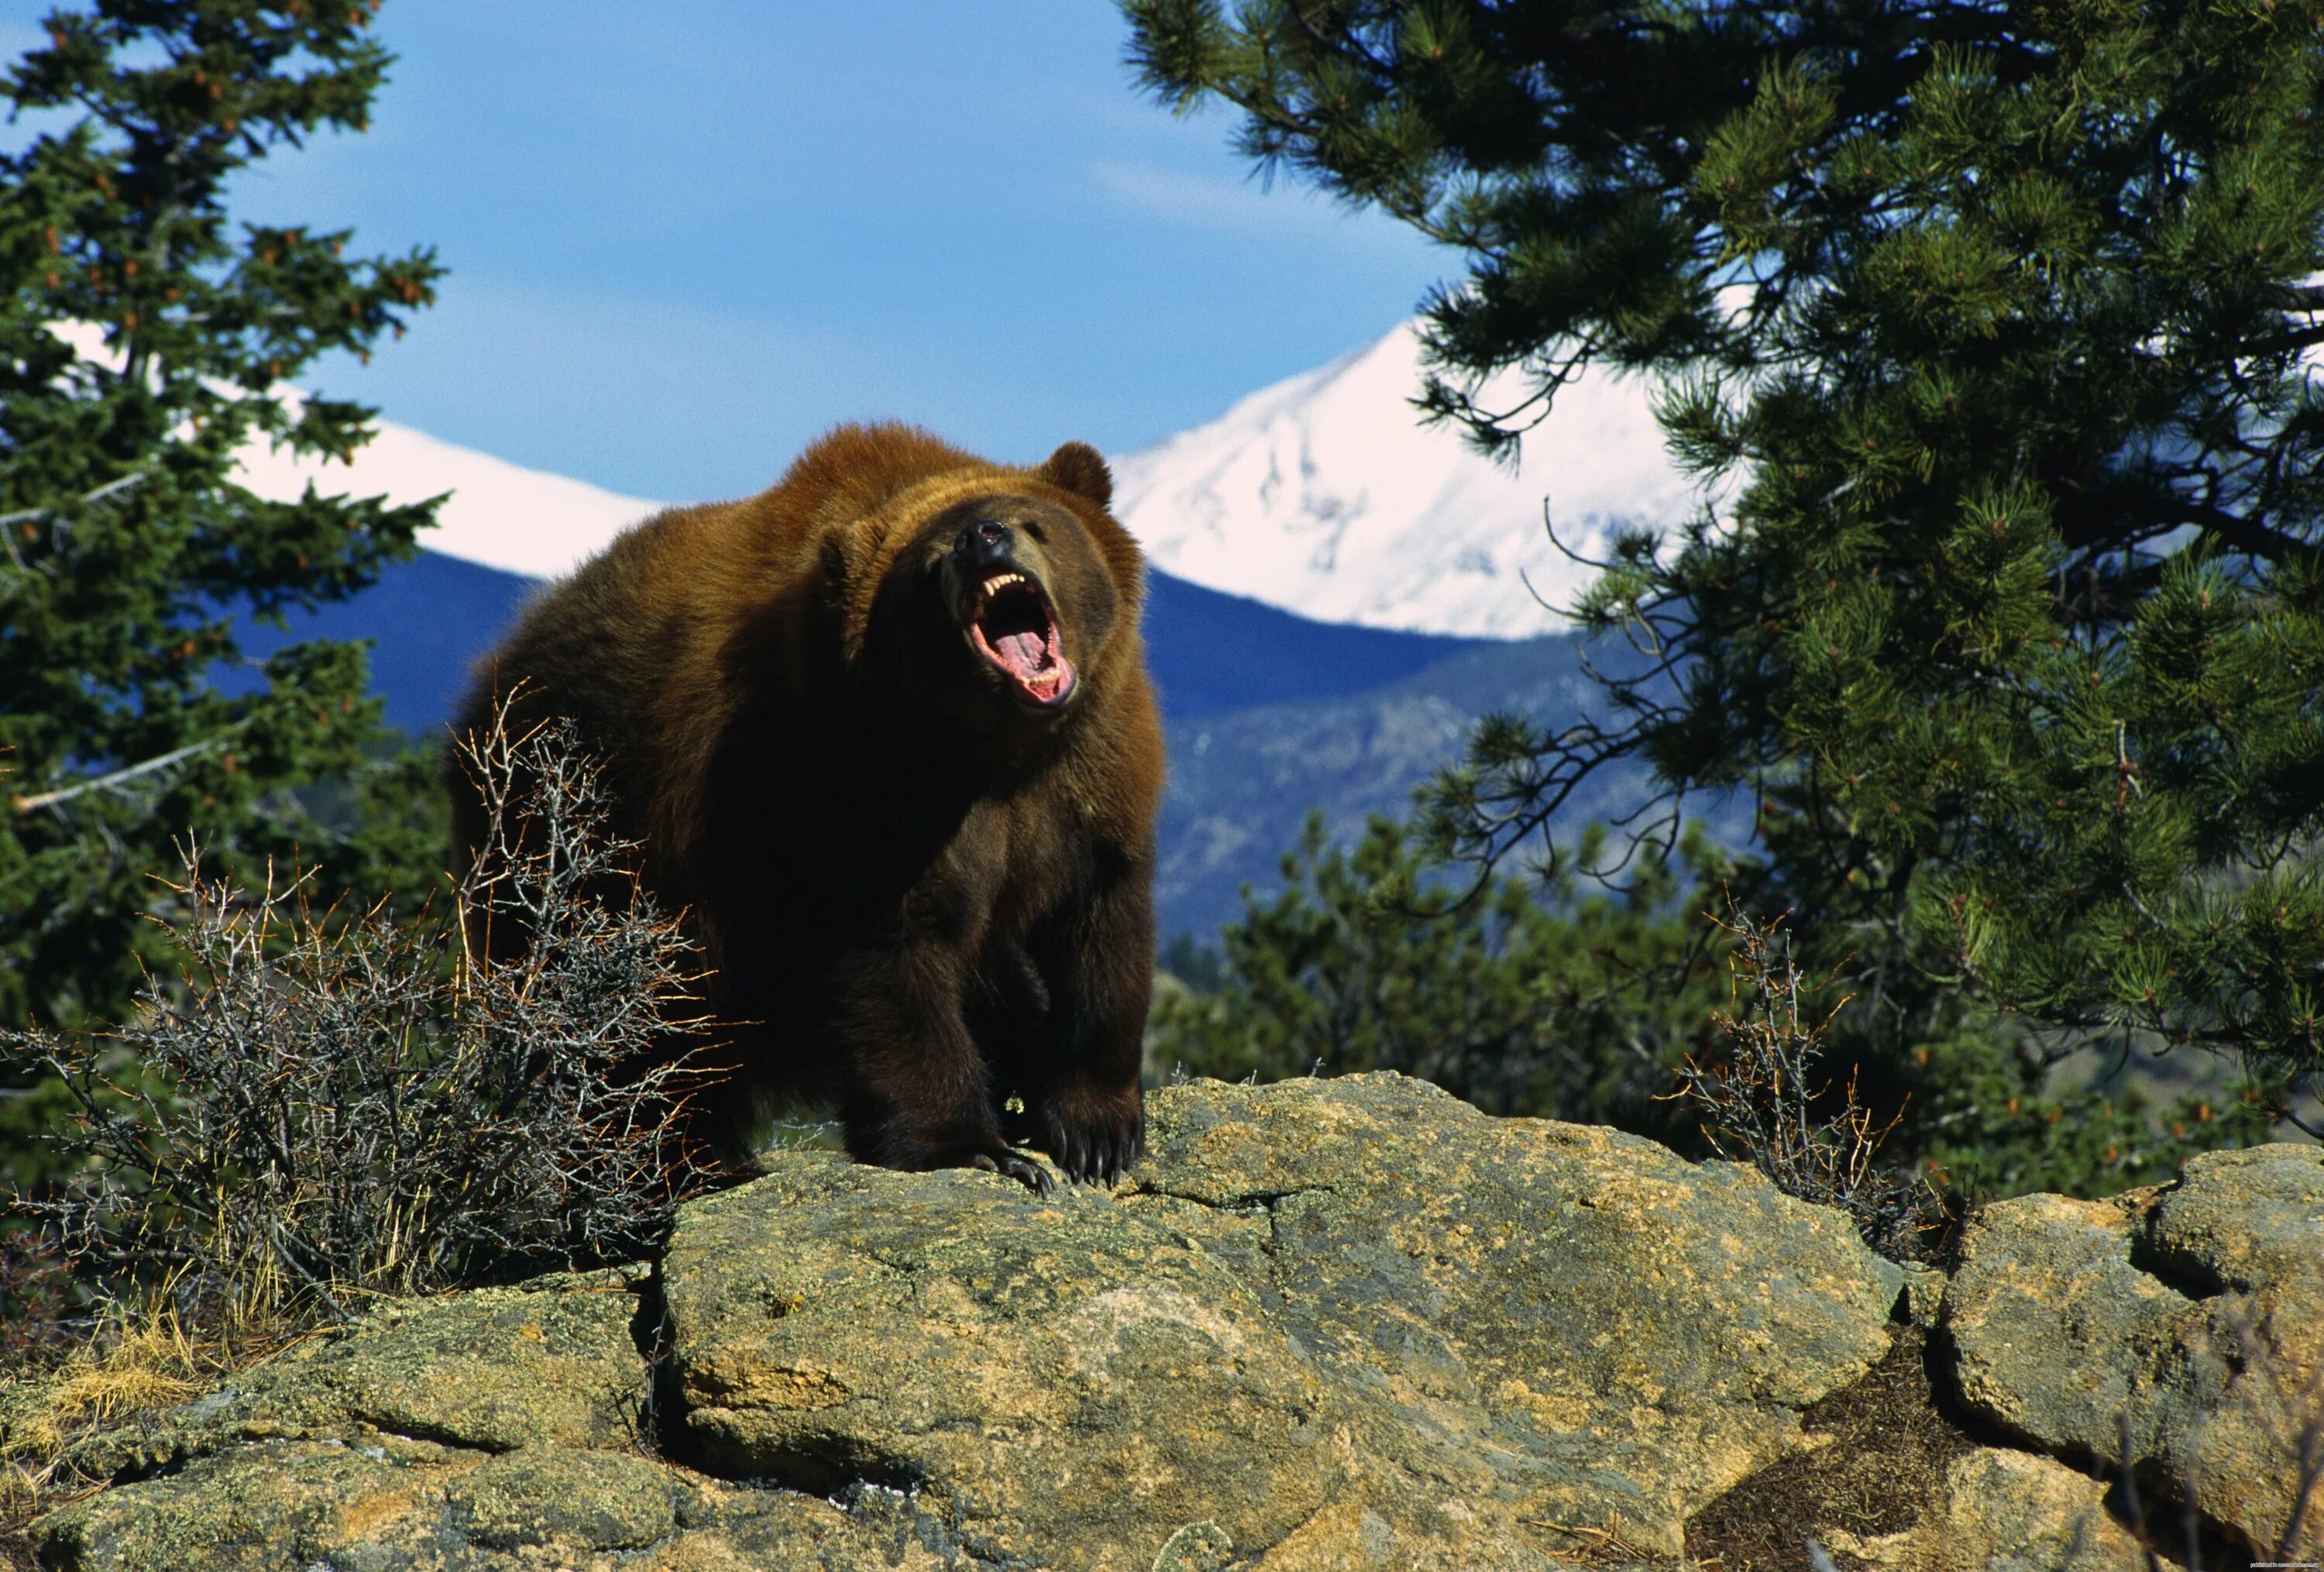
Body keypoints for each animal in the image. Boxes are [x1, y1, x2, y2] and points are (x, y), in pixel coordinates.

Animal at [446, 421, 1162, 1190]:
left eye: (1033, 523)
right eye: (931, 559)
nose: (982, 537)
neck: (994, 745)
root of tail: (490, 674)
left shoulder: (1091, 779)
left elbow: (1101, 934)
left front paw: (1095, 1131)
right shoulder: (845, 788)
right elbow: (891, 960)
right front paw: (972, 1144)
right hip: (580, 840)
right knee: (636, 1030)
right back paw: (683, 1161)